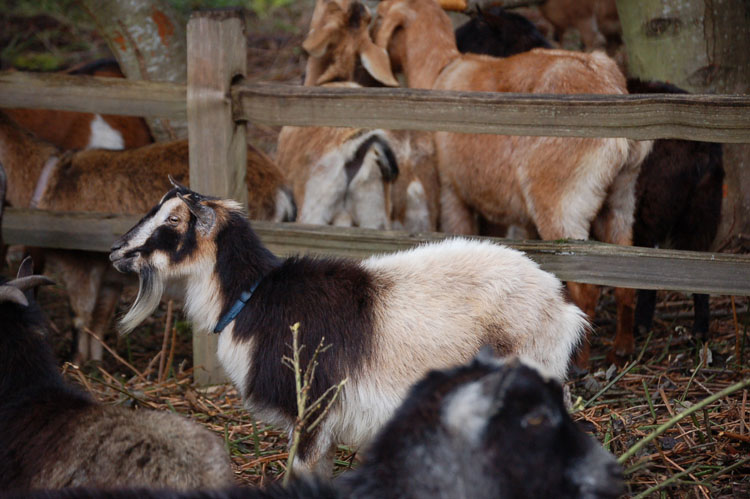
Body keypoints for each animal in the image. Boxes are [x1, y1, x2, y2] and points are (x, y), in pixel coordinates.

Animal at [0, 110, 294, 362]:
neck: (49, 180)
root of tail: (280, 188)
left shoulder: (79, 264)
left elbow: (80, 317)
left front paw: (76, 363)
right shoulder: (109, 278)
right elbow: (100, 319)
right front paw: (96, 363)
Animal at [454, 8, 725, 346]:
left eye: (478, 29)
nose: (455, 45)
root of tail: (704, 147)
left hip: (652, 206)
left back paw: (641, 326)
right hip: (702, 209)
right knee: (698, 267)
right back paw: (698, 330)